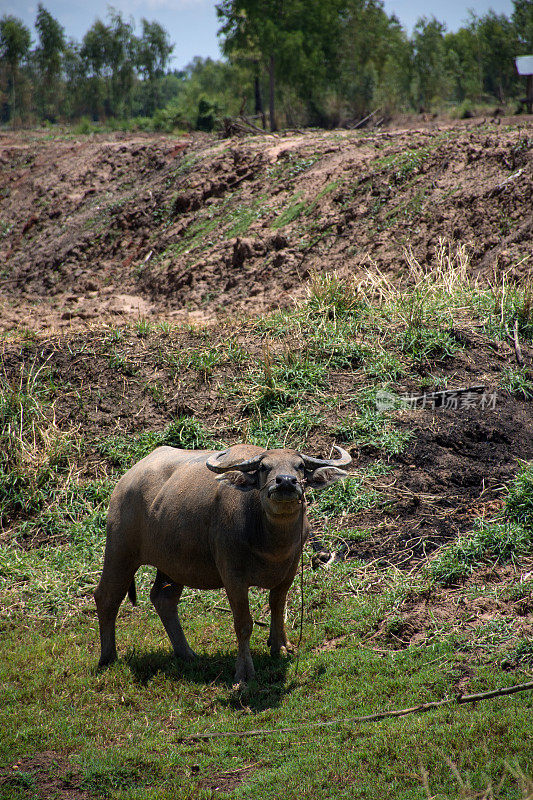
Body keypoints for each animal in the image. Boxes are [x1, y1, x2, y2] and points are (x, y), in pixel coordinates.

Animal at [94, 444, 354, 680]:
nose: (286, 482)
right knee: (106, 597)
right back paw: (108, 658)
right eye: (263, 467)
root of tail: (126, 480)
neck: (270, 542)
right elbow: (244, 623)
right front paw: (244, 672)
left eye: (299, 466)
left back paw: (187, 654)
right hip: (120, 550)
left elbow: (278, 607)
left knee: (163, 598)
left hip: (172, 564)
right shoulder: (233, 576)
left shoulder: (289, 571)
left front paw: (280, 646)